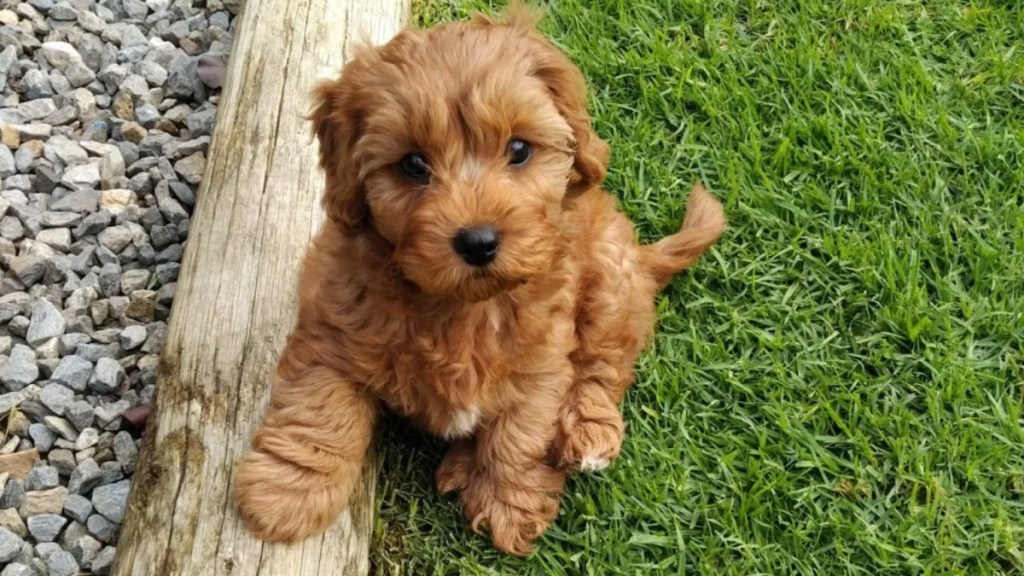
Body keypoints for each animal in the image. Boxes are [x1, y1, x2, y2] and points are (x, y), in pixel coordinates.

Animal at [234, 3, 724, 553]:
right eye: (413, 164)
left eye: (519, 149)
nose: (478, 241)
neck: (460, 308)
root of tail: (642, 258)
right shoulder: (332, 334)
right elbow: (317, 412)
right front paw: (285, 495)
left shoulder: (541, 366)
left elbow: (518, 435)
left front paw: (508, 503)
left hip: (609, 281)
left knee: (603, 367)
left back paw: (585, 435)